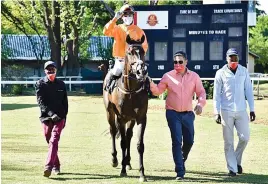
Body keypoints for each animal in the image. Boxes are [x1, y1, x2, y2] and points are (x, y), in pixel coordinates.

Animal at [102, 35, 149, 182]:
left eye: (143, 52)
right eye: (129, 52)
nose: (141, 71)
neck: (131, 91)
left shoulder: (140, 118)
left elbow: (140, 145)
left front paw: (142, 174)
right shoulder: (121, 118)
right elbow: (122, 142)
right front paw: (122, 170)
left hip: (131, 119)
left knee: (129, 136)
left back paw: (127, 162)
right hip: (110, 113)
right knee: (113, 131)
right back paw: (116, 160)